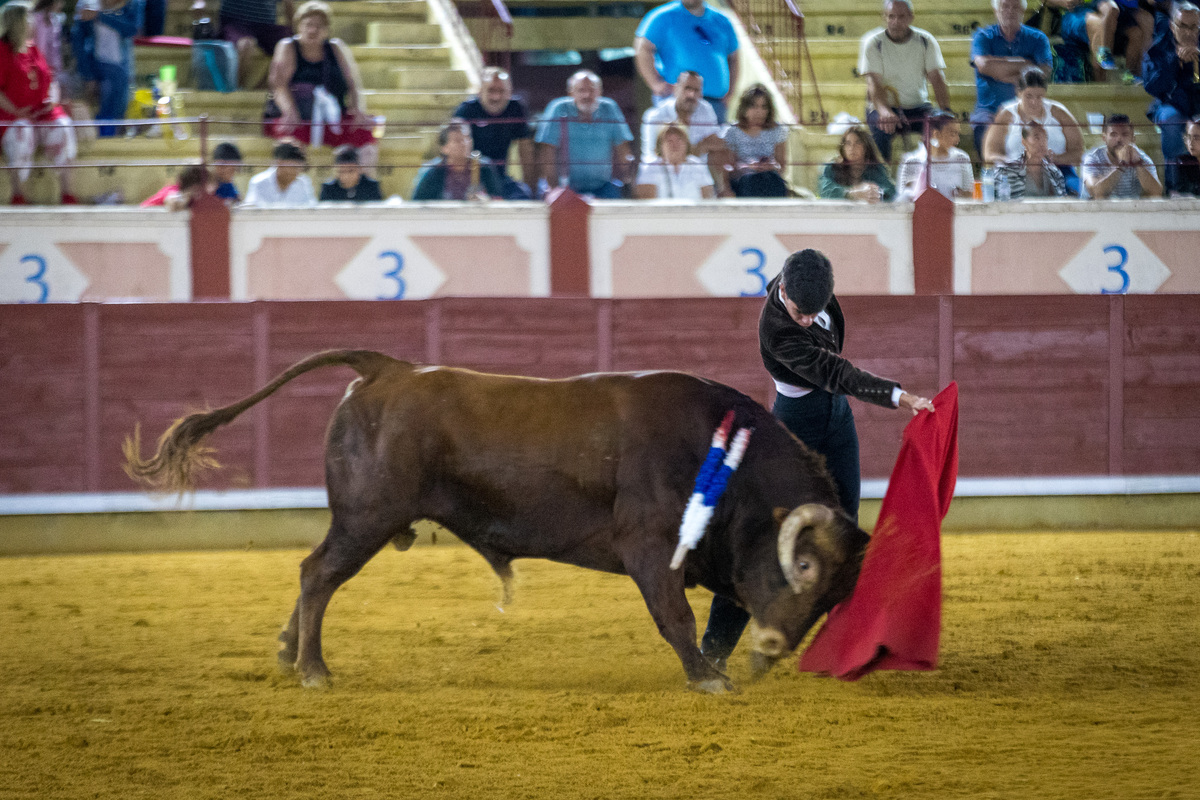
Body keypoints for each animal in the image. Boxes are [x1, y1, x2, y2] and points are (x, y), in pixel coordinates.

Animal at [126, 350, 868, 695]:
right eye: (802, 564)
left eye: (834, 595)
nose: (775, 647)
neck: (717, 453)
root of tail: (389, 369)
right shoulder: (652, 549)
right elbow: (676, 617)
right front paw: (709, 678)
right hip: (368, 516)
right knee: (318, 574)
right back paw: (313, 669)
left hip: (361, 520)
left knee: (318, 573)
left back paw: (288, 653)